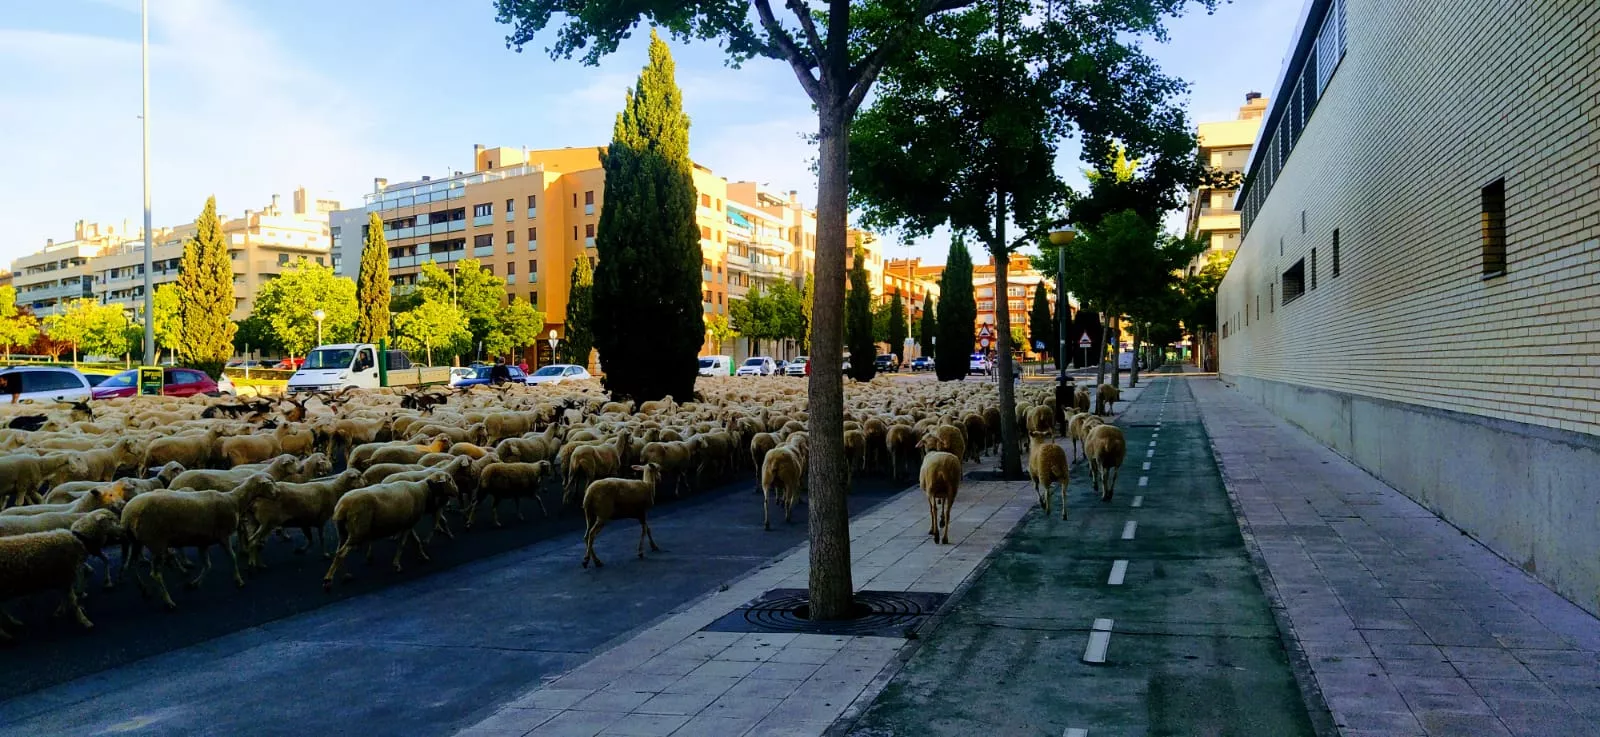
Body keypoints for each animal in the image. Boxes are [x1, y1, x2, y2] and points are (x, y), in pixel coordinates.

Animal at [0, 511, 123, 641]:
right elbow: (73, 601)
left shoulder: (63, 576)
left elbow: (66, 595)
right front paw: (84, 621)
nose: (124, 530)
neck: (79, 539)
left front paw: (61, 610)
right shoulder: (66, 574)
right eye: (112, 520)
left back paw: (14, 624)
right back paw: (8, 632)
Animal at [121, 474, 278, 609]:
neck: (234, 501)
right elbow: (232, 557)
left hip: (135, 541)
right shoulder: (223, 536)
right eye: (270, 483)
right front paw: (239, 580)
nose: (277, 493)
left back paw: (144, 589)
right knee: (155, 574)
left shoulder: (203, 542)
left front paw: (194, 584)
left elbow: (208, 565)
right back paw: (168, 601)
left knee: (131, 564)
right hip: (157, 543)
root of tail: (128, 514)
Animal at [323, 473, 459, 589]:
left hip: (343, 532)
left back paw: (344, 576)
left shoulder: (408, 523)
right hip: (357, 530)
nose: (457, 491)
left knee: (338, 552)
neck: (424, 491)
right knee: (341, 553)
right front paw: (397, 564)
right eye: (449, 479)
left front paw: (423, 556)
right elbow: (402, 544)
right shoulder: (408, 525)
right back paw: (328, 580)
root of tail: (342, 506)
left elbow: (416, 540)